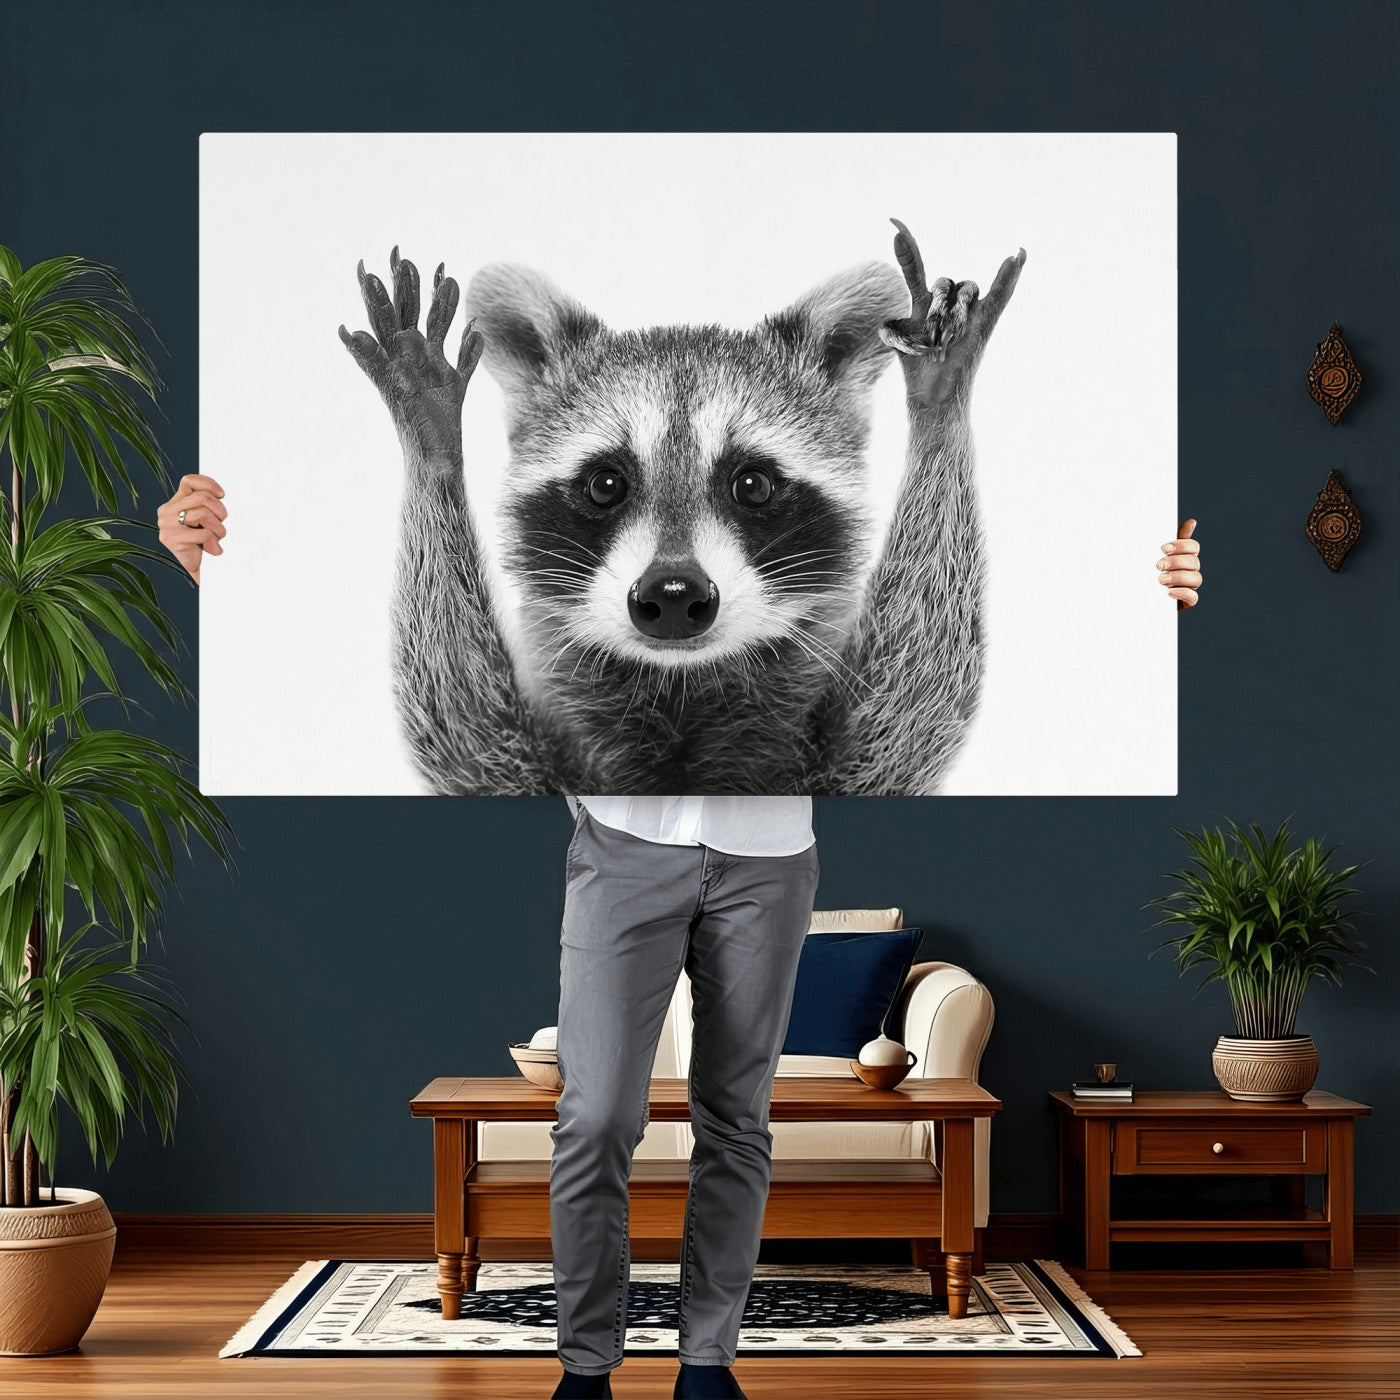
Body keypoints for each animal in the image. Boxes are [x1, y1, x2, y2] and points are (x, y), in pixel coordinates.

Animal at [338, 221, 1025, 795]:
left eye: (753, 486)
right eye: (605, 484)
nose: (672, 594)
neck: (680, 689)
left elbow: (915, 700)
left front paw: (939, 402)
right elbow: (460, 728)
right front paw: (431, 437)